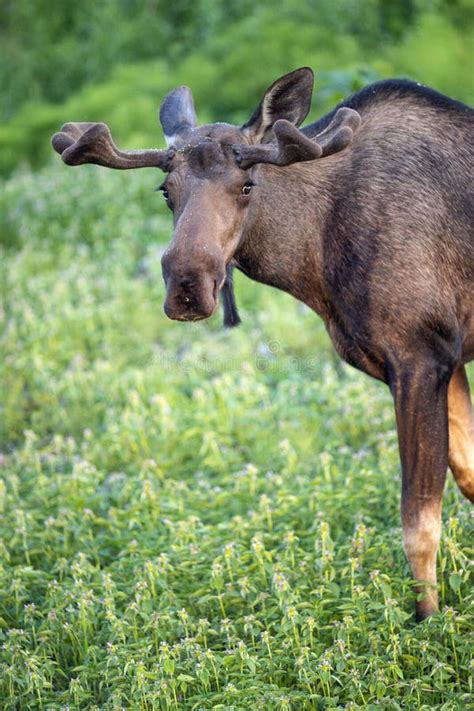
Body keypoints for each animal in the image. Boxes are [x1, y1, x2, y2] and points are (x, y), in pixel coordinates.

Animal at [52, 68, 474, 624]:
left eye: (247, 185)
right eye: (165, 190)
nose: (187, 286)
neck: (314, 264)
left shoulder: (419, 355)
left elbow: (418, 524)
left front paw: (428, 621)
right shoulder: (448, 357)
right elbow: (468, 478)